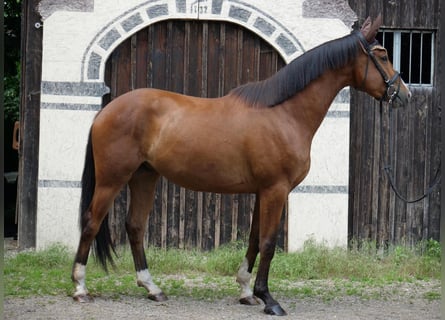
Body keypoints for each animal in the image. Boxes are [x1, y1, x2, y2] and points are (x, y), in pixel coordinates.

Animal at [72, 15, 410, 316]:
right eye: (382, 54)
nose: (404, 95)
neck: (284, 114)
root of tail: (106, 111)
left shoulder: (264, 191)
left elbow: (254, 239)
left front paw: (247, 291)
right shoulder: (276, 190)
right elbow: (269, 243)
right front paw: (269, 299)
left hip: (144, 176)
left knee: (135, 226)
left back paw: (152, 288)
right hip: (112, 179)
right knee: (91, 222)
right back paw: (80, 288)